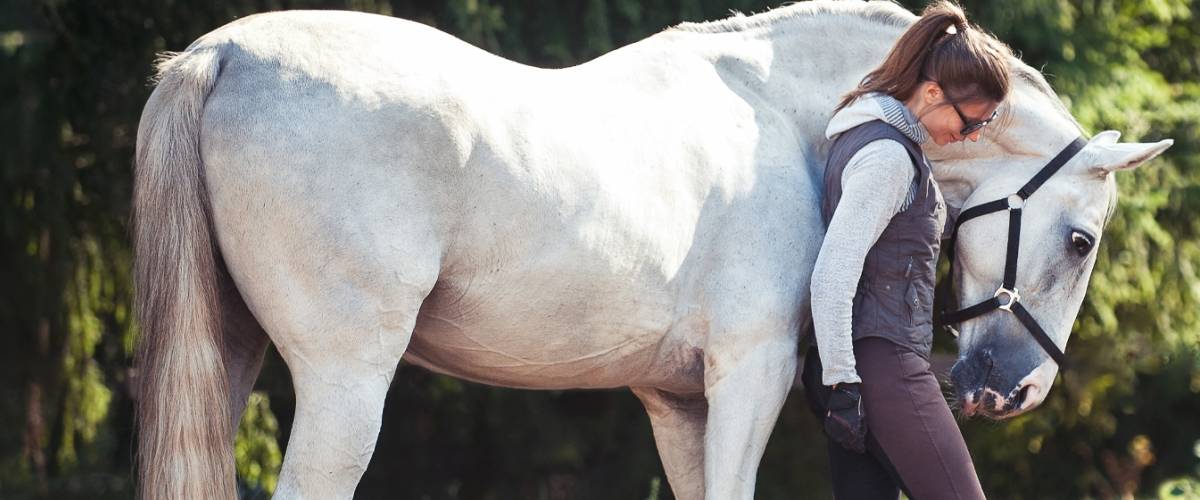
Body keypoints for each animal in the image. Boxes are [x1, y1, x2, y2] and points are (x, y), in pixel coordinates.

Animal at [132, 2, 1173, 498]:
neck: (797, 119)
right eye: (1082, 238)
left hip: (226, 358)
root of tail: (219, 55)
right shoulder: (748, 374)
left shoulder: (677, 402)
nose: (1011, 392)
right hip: (346, 381)